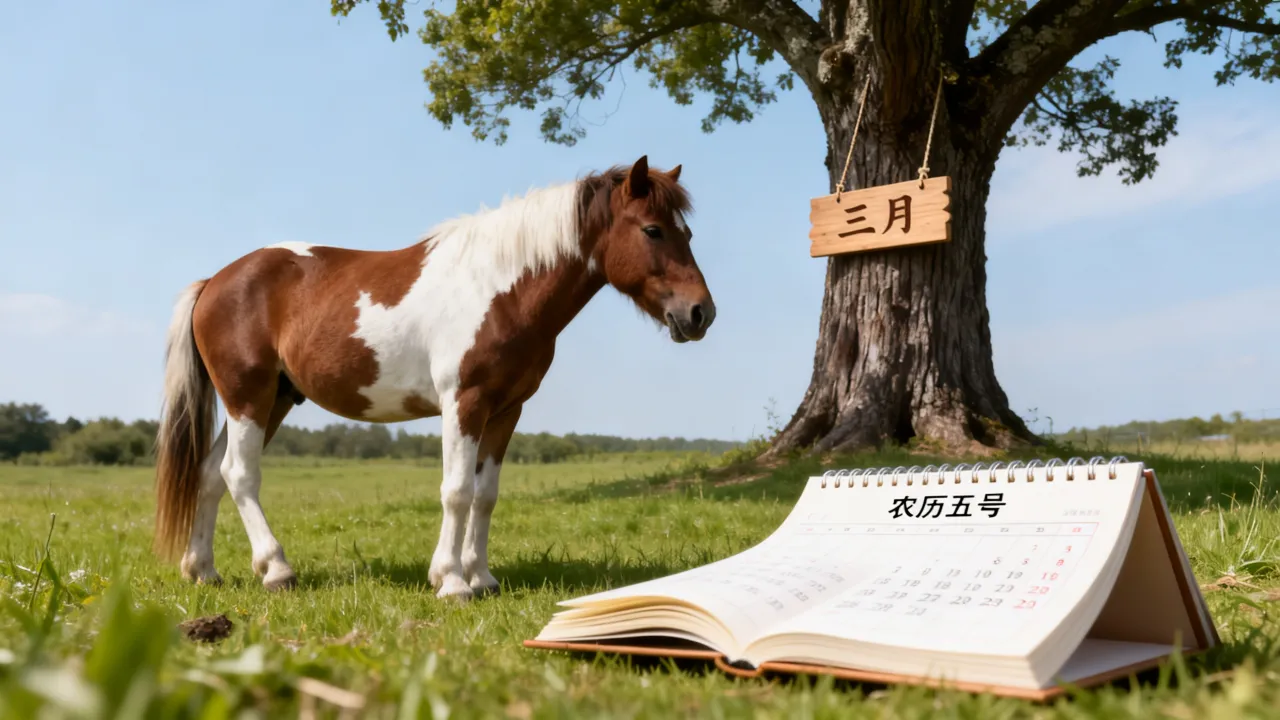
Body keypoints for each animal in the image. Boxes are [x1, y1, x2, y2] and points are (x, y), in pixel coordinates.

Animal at [151, 156, 715, 601]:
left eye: (687, 233)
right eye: (652, 230)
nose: (700, 314)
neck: (500, 288)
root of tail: (215, 281)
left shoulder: (506, 409)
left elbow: (485, 494)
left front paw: (482, 578)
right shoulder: (464, 402)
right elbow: (457, 490)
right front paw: (452, 582)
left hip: (275, 400)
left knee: (209, 474)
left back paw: (202, 571)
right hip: (248, 395)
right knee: (239, 475)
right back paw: (276, 570)